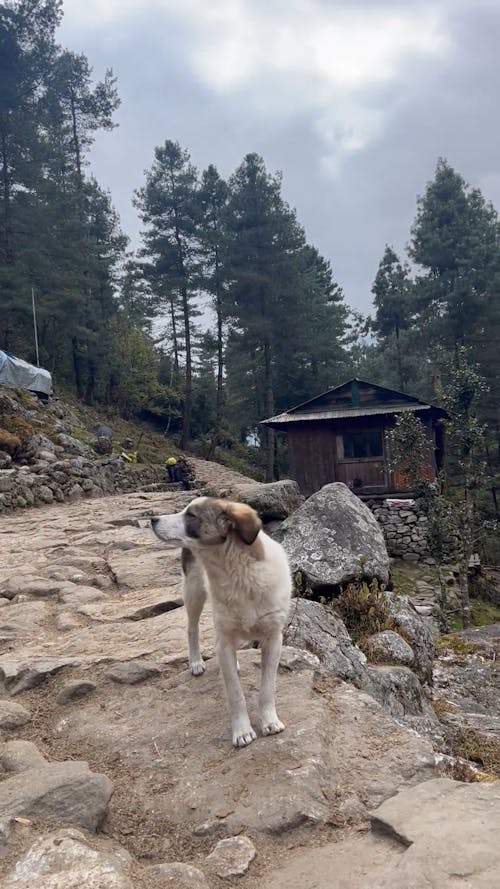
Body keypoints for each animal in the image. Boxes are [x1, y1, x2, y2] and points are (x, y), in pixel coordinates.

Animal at [152, 496, 292, 744]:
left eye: (191, 515)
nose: (152, 519)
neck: (238, 573)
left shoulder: (274, 638)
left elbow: (267, 688)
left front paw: (269, 721)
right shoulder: (225, 640)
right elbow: (235, 694)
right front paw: (242, 731)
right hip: (193, 591)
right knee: (192, 629)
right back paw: (196, 661)